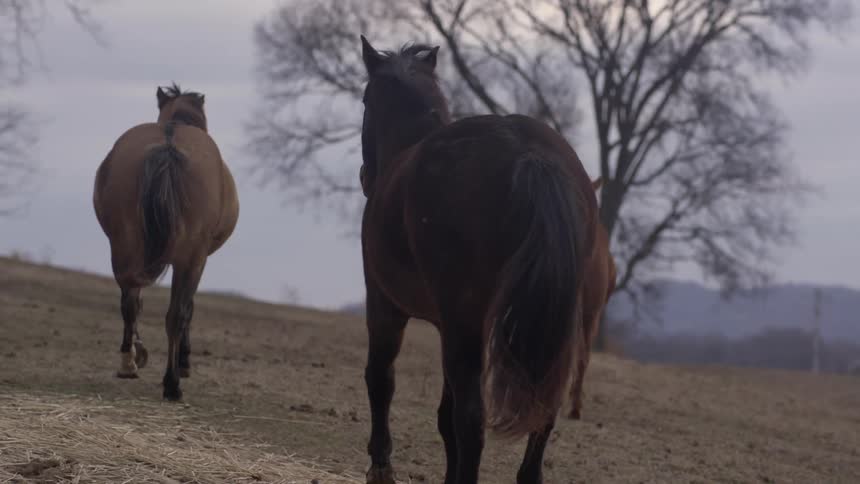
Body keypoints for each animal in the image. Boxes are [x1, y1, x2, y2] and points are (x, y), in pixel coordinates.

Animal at [93, 84, 239, 401]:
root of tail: (168, 145)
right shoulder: (196, 260)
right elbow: (189, 308)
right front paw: (184, 362)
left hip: (124, 244)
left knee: (130, 301)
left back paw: (130, 362)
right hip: (190, 258)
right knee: (176, 314)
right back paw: (171, 381)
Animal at [358, 36, 599, 484]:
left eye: (366, 98)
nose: (366, 177)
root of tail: (529, 153)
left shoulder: (385, 304)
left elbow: (381, 379)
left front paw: (381, 465)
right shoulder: (450, 324)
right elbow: (443, 415)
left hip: (462, 324)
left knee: (471, 420)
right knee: (541, 412)